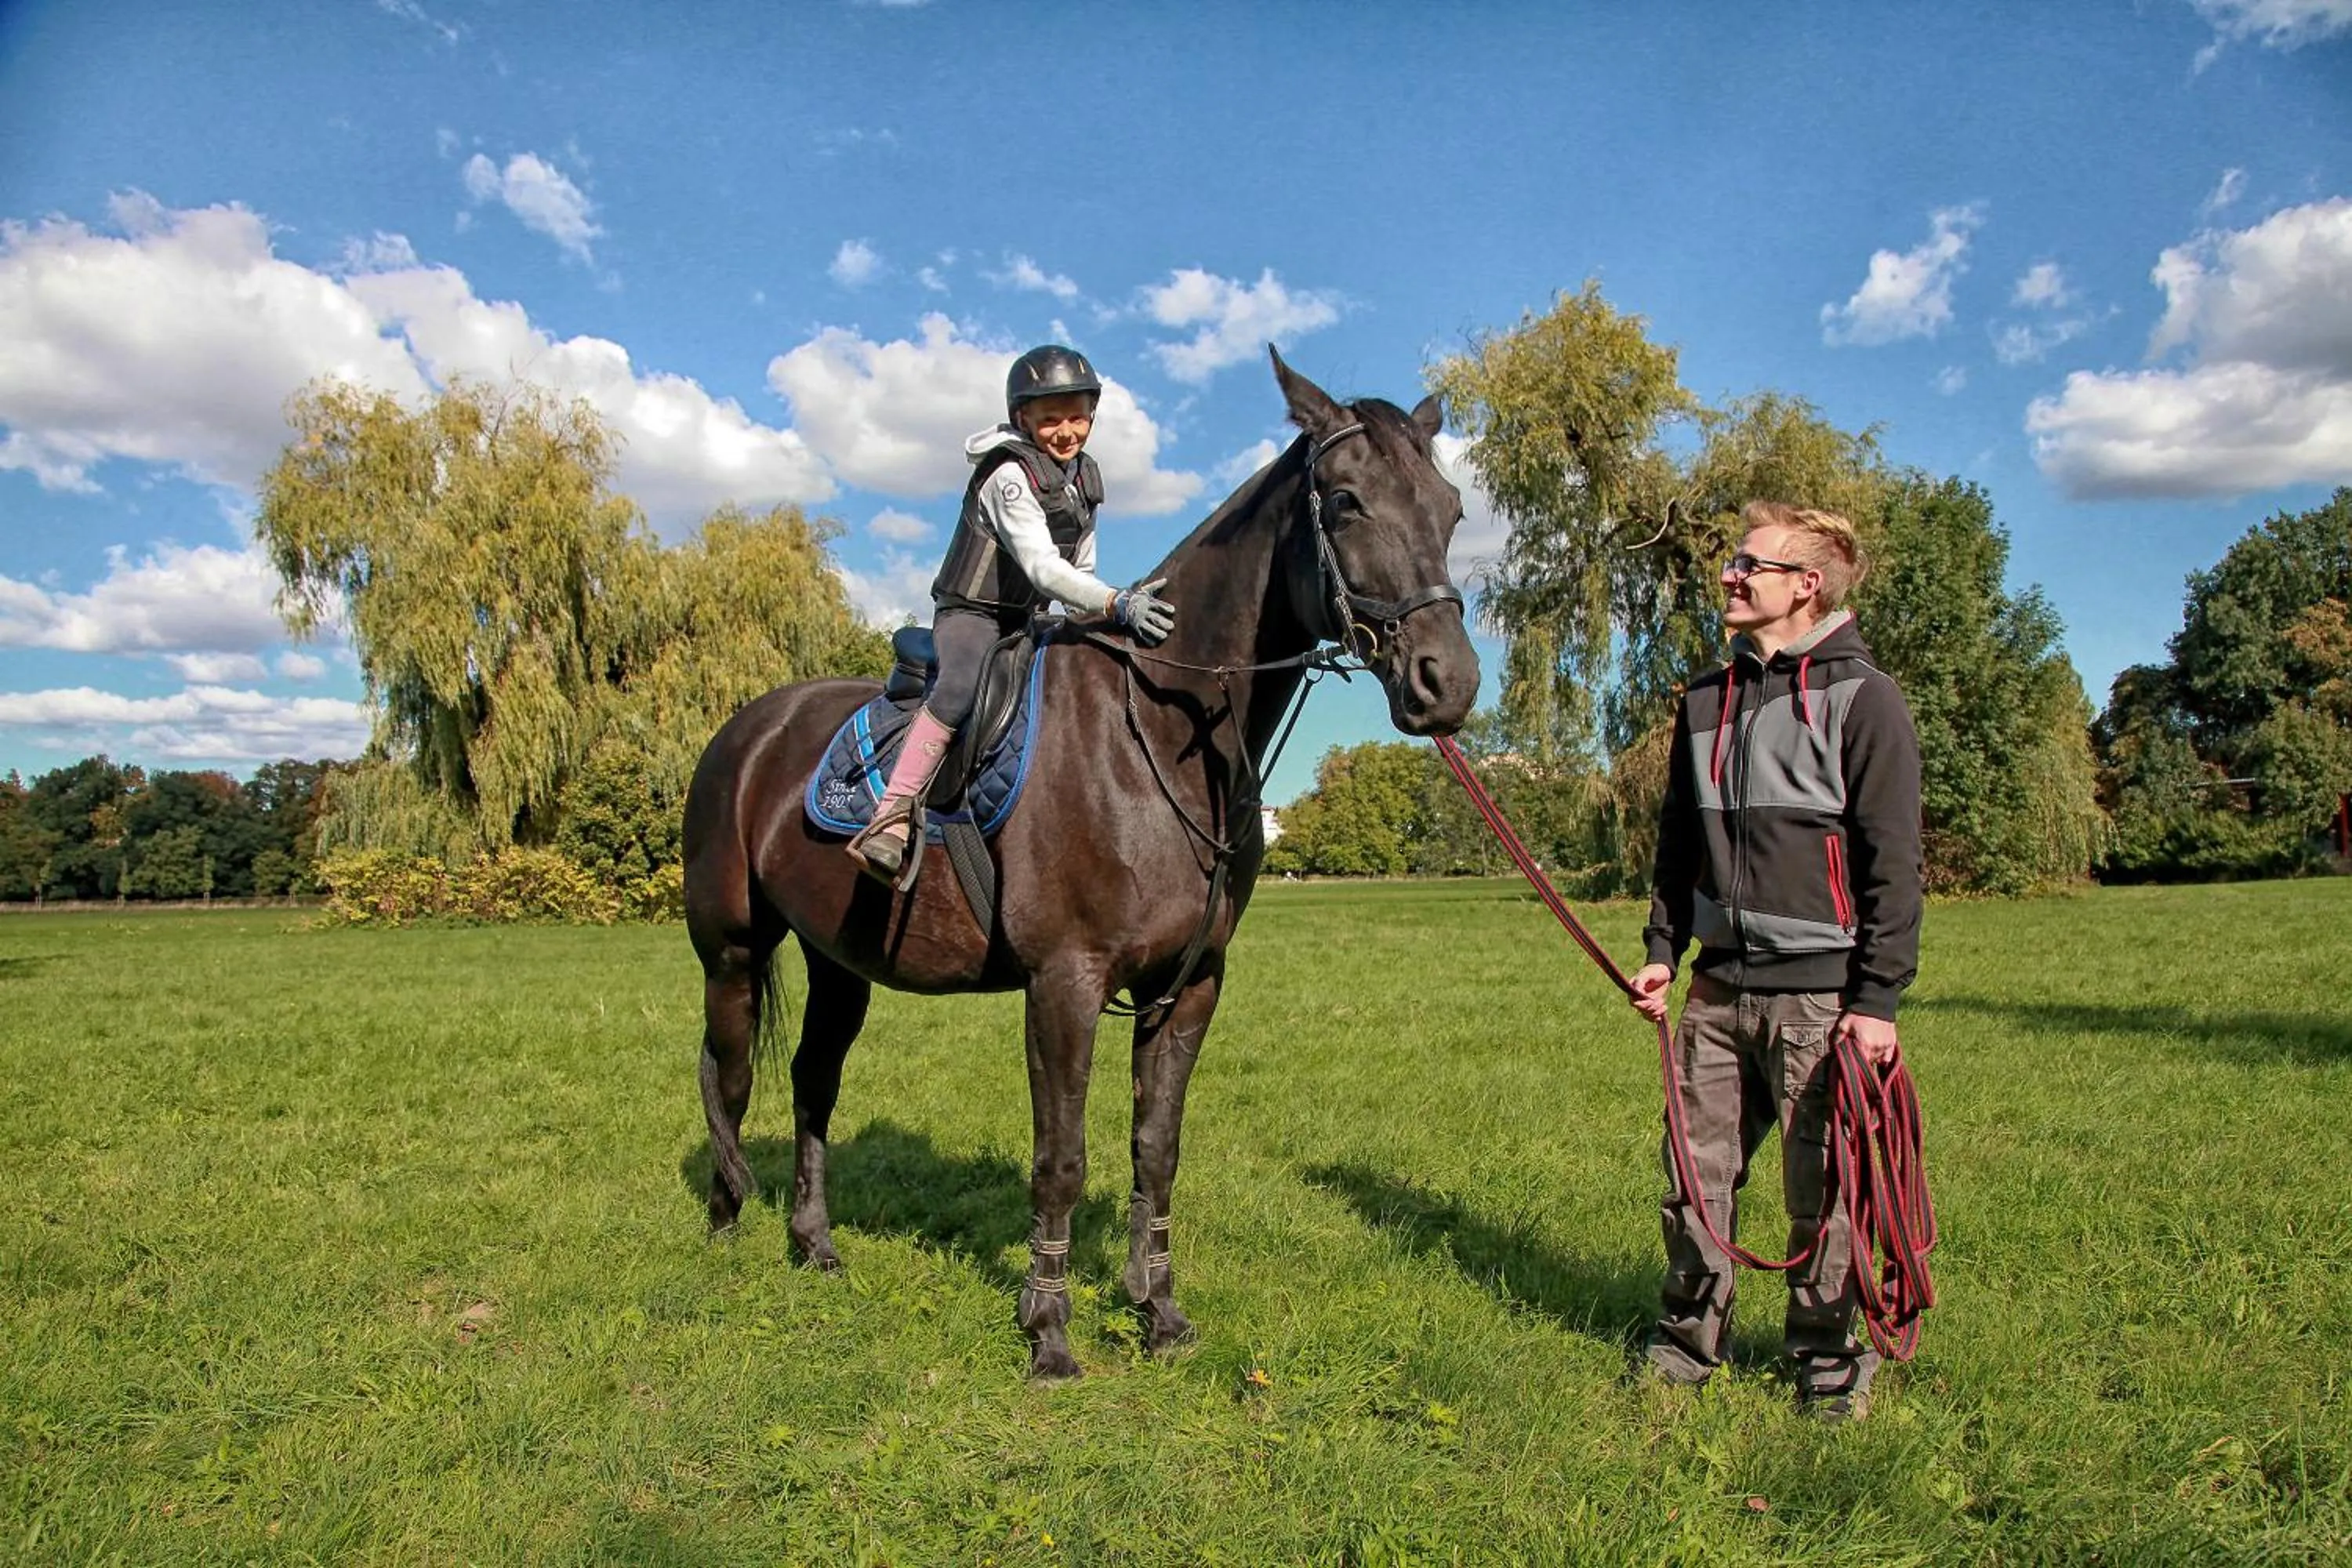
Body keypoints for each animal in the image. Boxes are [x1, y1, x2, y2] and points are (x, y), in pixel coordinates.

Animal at [683, 348, 1480, 1379]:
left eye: (1452, 508)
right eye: (1345, 500)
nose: (1447, 682)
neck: (1156, 732)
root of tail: (747, 729)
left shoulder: (1188, 985)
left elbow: (1156, 1149)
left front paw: (1157, 1308)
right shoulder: (1064, 982)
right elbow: (1061, 1157)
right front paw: (1049, 1328)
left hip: (838, 963)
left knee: (813, 1080)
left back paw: (814, 1242)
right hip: (733, 949)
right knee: (729, 1074)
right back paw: (725, 1221)